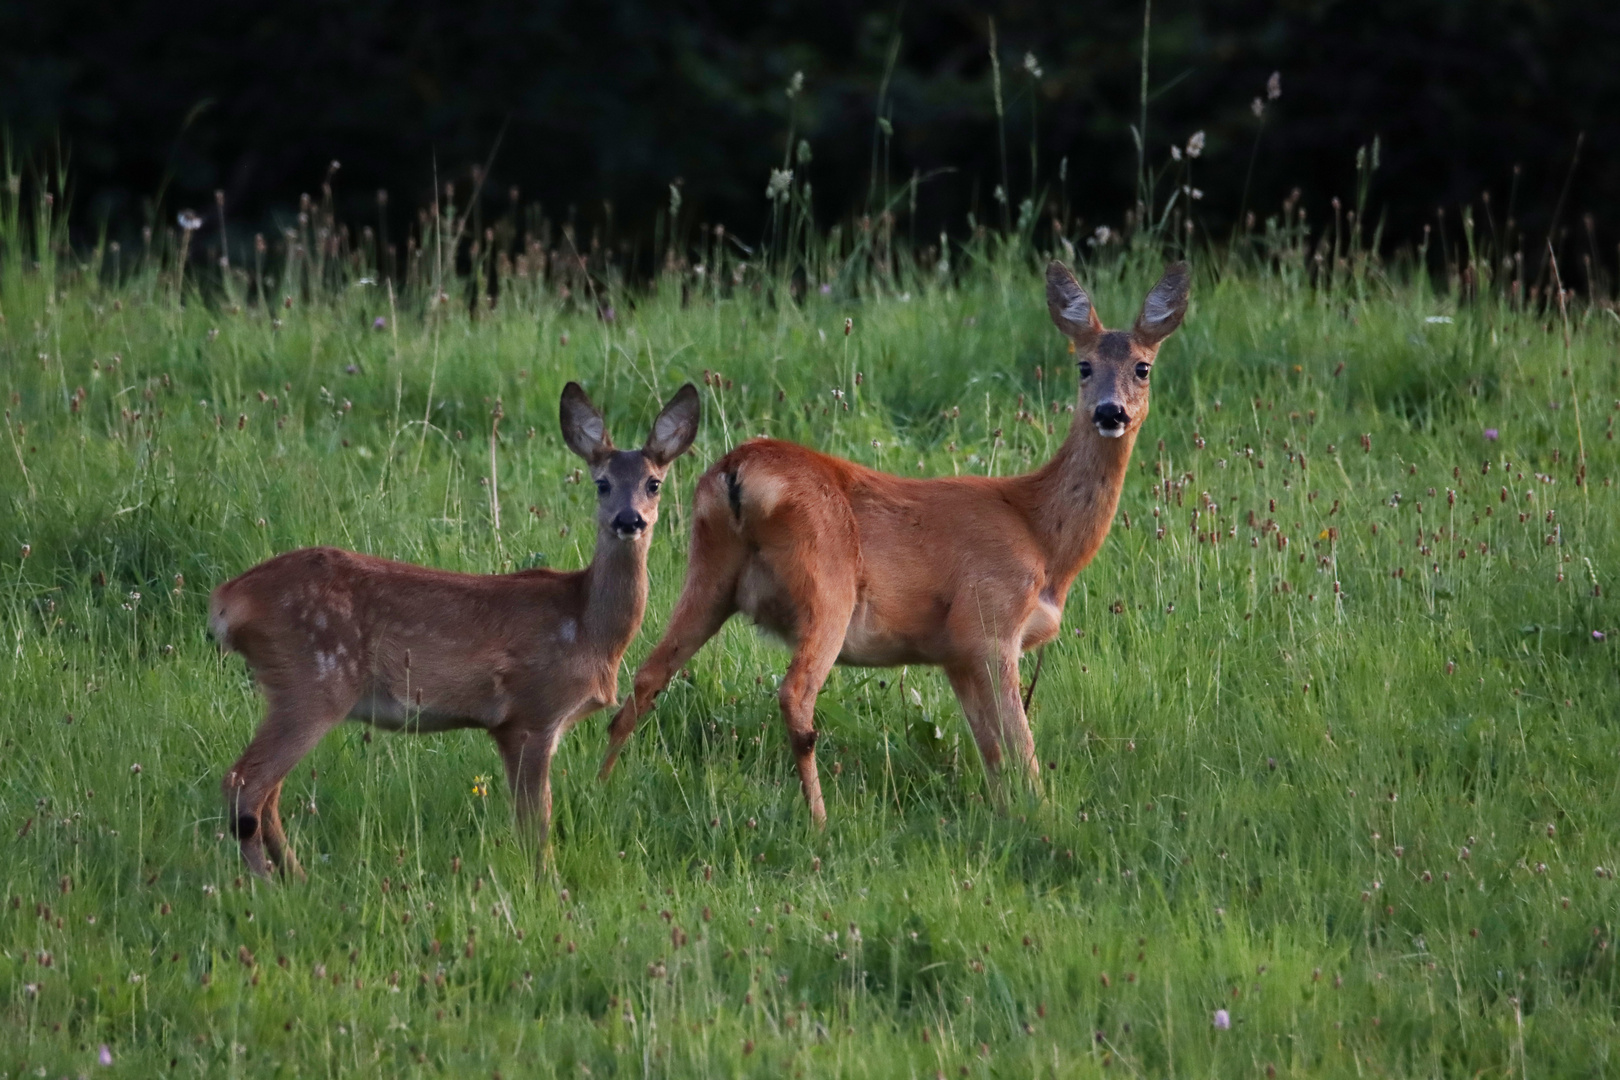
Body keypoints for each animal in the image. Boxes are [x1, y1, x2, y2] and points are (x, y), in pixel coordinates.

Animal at [207, 380, 696, 880]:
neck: (587, 627)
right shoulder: (531, 714)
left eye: (654, 483)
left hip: (291, 689)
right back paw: (267, 883)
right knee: (245, 782)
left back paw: (296, 879)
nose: (629, 520)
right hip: (312, 681)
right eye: (602, 483)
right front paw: (546, 882)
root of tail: (227, 601)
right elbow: (535, 825)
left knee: (268, 794)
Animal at [602, 262, 1185, 829]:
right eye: (1083, 366)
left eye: (1143, 367)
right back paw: (820, 821)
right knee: (794, 694)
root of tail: (735, 471)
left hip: (708, 573)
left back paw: (600, 780)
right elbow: (1021, 748)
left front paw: (1005, 814)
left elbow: (991, 750)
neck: (1041, 535)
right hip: (828, 584)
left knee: (647, 676)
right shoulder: (988, 624)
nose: (1110, 412)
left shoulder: (955, 654)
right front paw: (1044, 817)